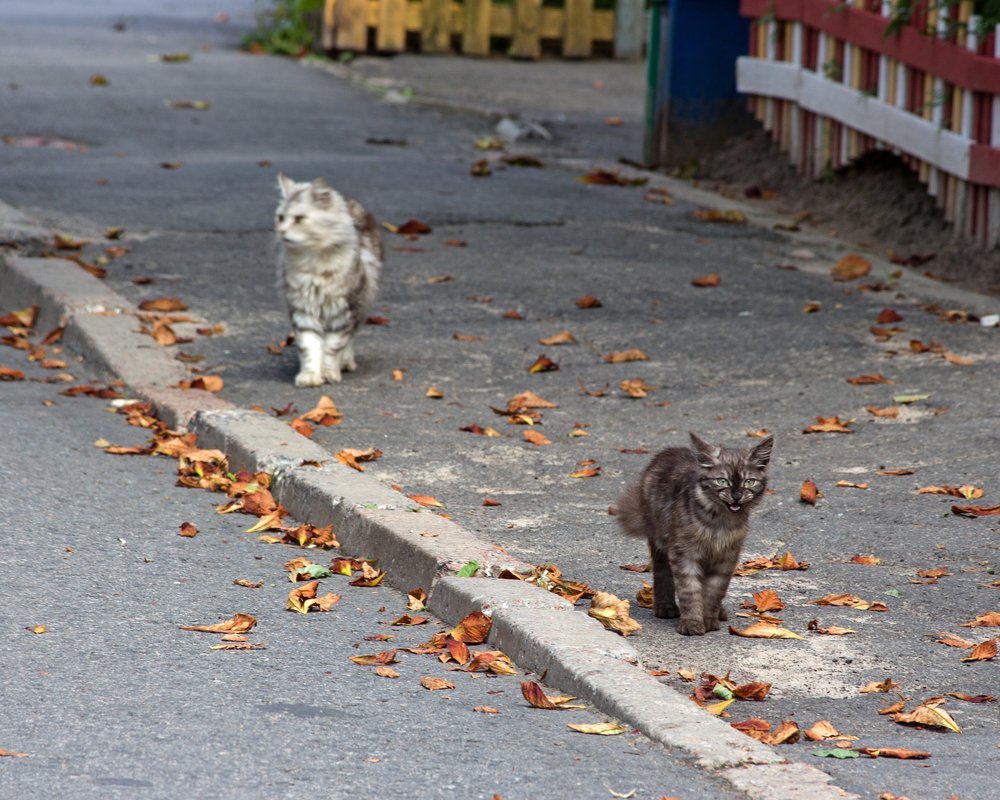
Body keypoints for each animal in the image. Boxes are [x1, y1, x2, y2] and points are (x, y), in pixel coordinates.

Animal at [274, 175, 382, 388]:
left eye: (299, 219)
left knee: (350, 339)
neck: (314, 263)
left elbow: (333, 347)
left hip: (360, 306)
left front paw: (329, 373)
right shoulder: (302, 310)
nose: (281, 231)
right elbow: (309, 347)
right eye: (280, 218)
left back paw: (346, 363)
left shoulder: (344, 312)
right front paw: (310, 376)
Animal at [616, 434, 772, 636]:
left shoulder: (726, 559)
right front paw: (692, 623)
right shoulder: (684, 554)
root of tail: (670, 450)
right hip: (659, 541)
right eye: (722, 481)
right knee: (662, 573)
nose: (736, 496)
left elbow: (714, 592)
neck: (719, 524)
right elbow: (690, 590)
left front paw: (709, 619)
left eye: (749, 482)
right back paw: (665, 607)